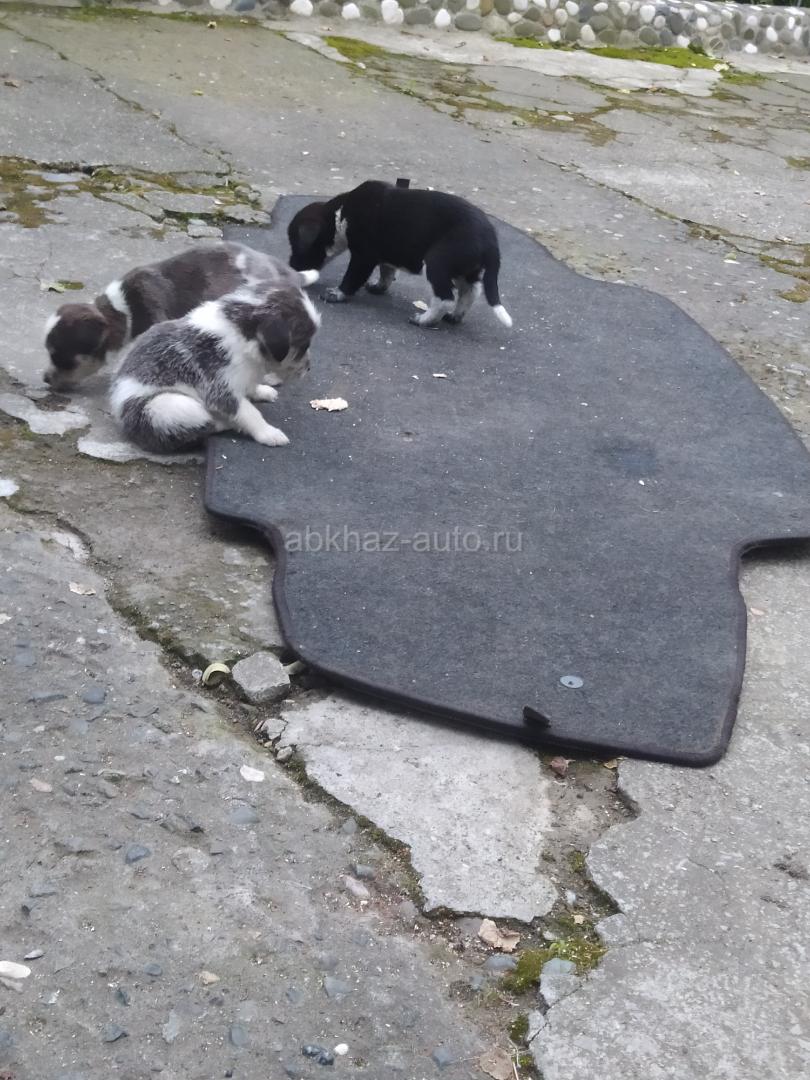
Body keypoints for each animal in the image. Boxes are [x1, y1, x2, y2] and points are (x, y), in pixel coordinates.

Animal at [110, 281, 320, 455]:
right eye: (303, 345)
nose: (309, 369)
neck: (241, 336)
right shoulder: (223, 391)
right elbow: (250, 413)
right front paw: (268, 433)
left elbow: (251, 386)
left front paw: (262, 391)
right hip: (166, 406)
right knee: (203, 425)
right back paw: (224, 423)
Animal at [287, 180, 512, 329]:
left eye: (295, 244)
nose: (291, 269)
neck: (340, 214)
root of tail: (491, 241)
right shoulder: (385, 253)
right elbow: (386, 271)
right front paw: (378, 287)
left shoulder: (363, 257)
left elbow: (351, 278)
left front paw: (337, 293)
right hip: (463, 268)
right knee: (470, 291)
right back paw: (455, 316)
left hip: (438, 262)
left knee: (445, 298)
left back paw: (424, 319)